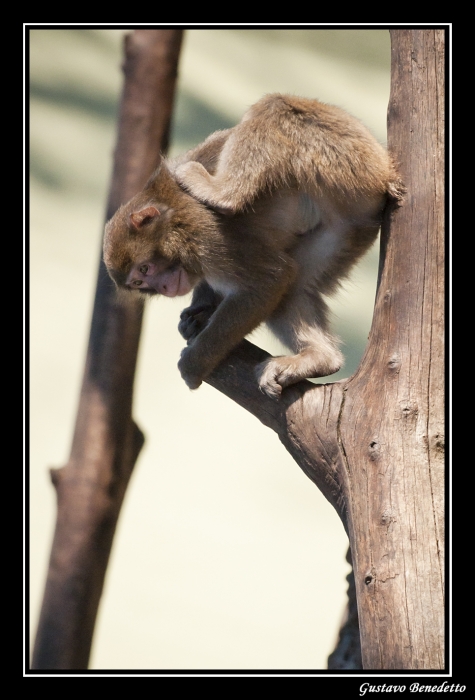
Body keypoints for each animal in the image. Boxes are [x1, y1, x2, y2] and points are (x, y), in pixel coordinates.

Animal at [104, 93, 402, 400]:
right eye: (139, 282)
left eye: (145, 268)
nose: (163, 287)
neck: (171, 219)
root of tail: (385, 172)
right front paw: (200, 309)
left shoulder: (203, 234)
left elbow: (268, 281)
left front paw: (194, 364)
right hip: (347, 227)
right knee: (296, 285)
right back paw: (321, 358)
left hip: (348, 162)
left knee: (274, 106)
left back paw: (220, 193)